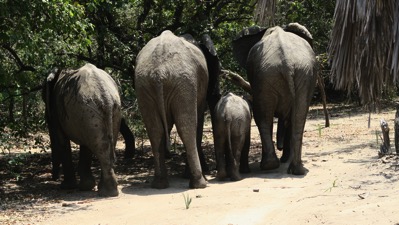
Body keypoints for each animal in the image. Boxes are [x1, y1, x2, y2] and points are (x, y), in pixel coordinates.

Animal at [43, 63, 121, 197]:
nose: (53, 178)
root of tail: (106, 97)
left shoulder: (56, 110)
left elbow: (62, 141)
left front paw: (66, 187)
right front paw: (86, 186)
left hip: (88, 110)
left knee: (100, 146)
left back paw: (106, 192)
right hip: (106, 111)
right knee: (103, 144)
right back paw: (108, 191)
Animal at [135, 29, 222, 188]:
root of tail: (159, 72)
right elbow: (198, 119)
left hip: (144, 85)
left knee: (155, 130)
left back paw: (159, 184)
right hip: (184, 83)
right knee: (186, 127)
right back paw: (199, 183)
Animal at [233, 22, 318, 174]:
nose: (280, 147)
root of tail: (288, 62)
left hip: (270, 76)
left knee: (263, 116)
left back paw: (271, 165)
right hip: (301, 74)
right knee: (298, 116)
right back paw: (296, 169)